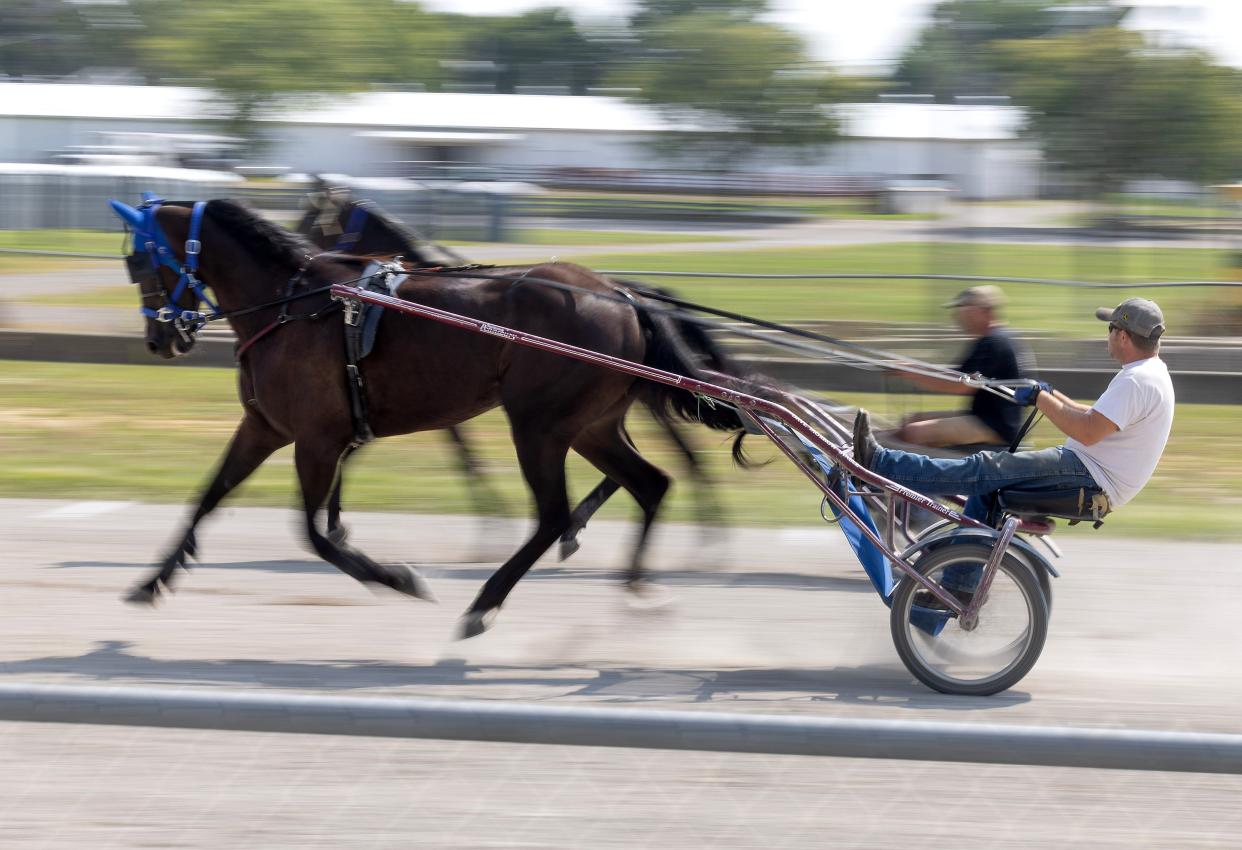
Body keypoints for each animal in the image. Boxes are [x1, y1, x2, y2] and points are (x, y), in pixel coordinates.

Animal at [291, 187, 730, 556]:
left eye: (310, 218)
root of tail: (629, 295)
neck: (397, 302)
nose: (302, 253)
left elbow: (461, 458)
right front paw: (335, 522)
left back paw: (705, 536)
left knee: (681, 453)